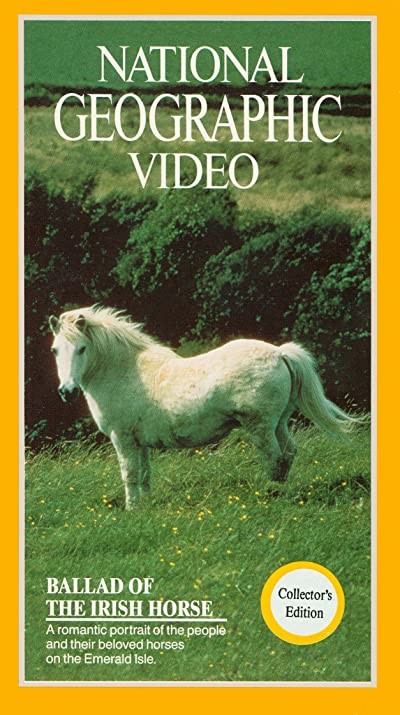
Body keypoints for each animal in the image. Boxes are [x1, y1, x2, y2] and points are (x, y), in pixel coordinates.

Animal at [49, 306, 358, 510]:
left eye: (81, 349)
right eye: (55, 350)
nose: (66, 391)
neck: (124, 371)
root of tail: (280, 353)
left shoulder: (122, 439)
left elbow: (130, 474)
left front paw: (132, 509)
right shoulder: (139, 442)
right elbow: (145, 474)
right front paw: (146, 506)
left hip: (260, 427)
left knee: (274, 457)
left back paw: (270, 494)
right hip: (279, 423)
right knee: (289, 453)